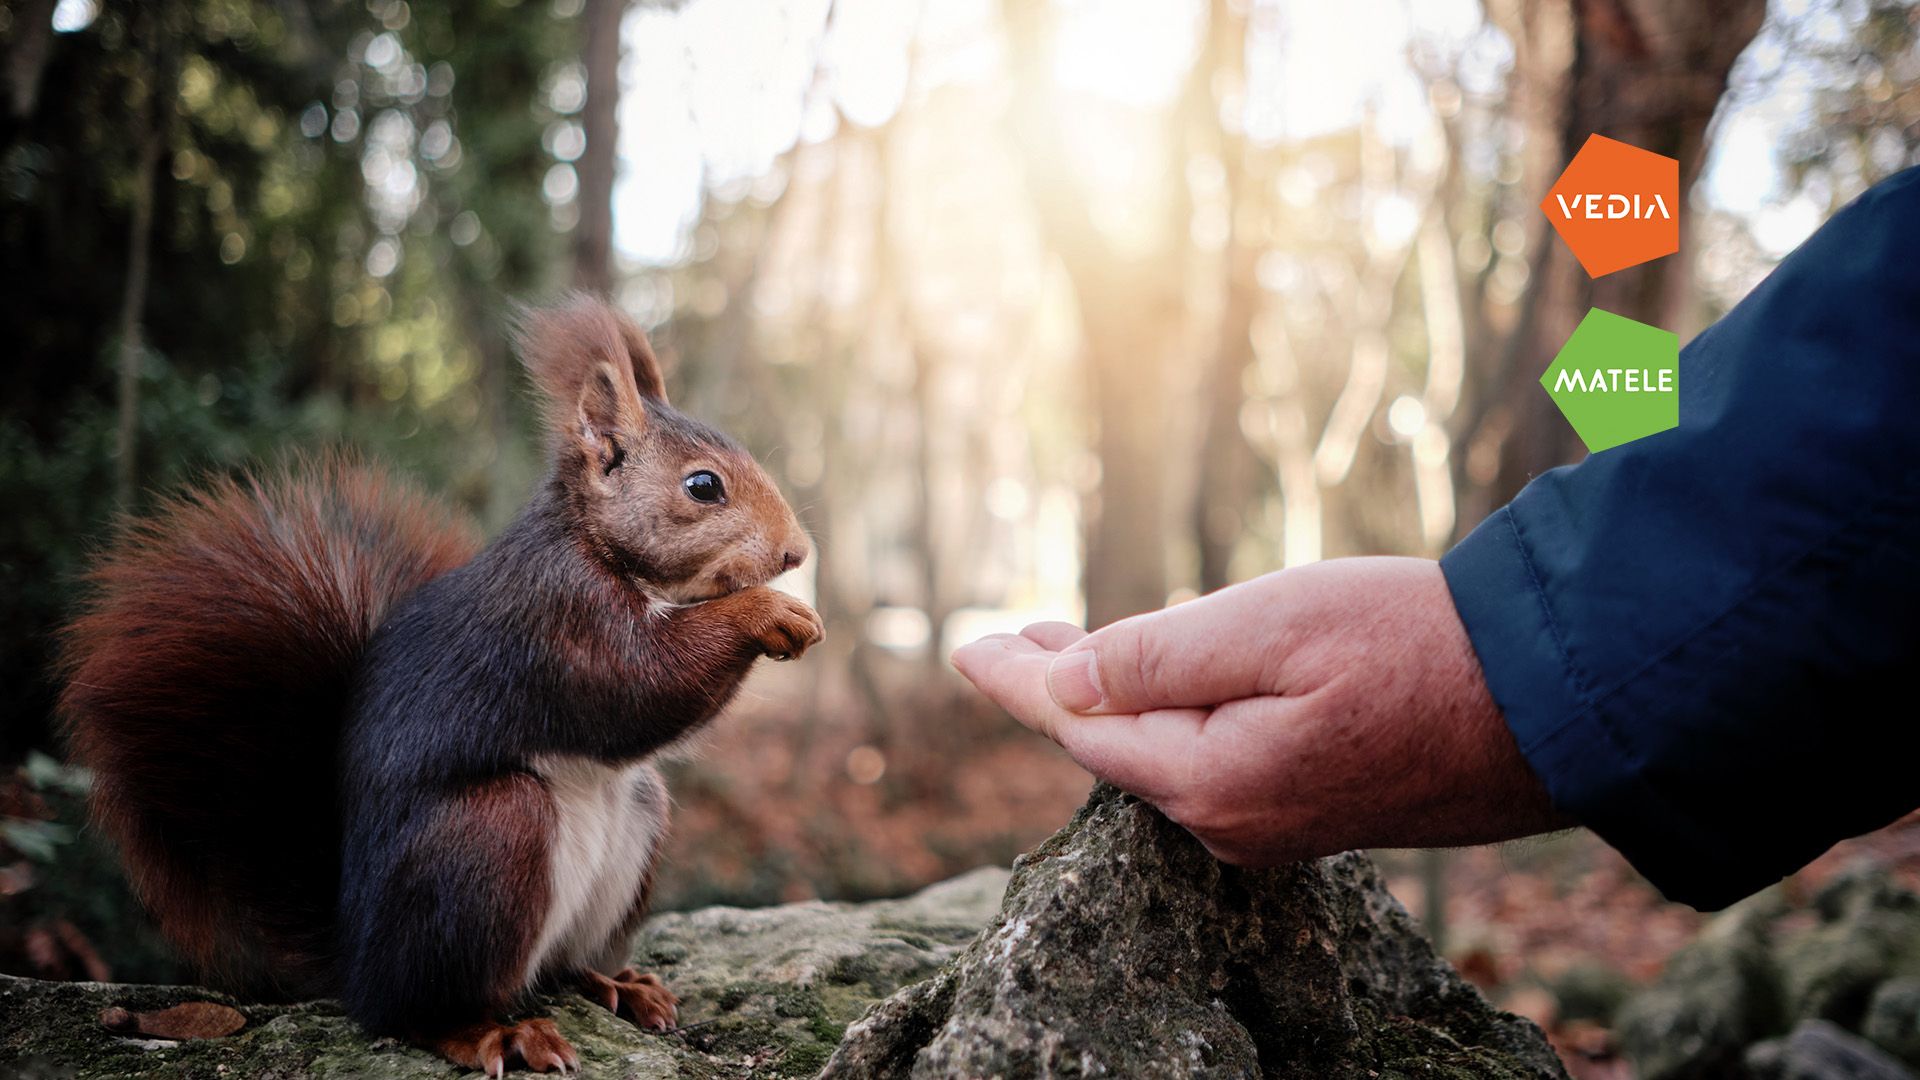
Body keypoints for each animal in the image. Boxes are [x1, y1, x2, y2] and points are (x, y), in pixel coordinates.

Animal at [58, 292, 825, 1068]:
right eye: (703, 486)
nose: (797, 551)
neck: (592, 543)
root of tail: (355, 962)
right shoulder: (559, 618)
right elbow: (641, 684)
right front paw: (771, 612)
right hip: (489, 840)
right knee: (414, 1010)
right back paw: (493, 1031)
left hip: (636, 818)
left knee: (558, 968)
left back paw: (615, 982)